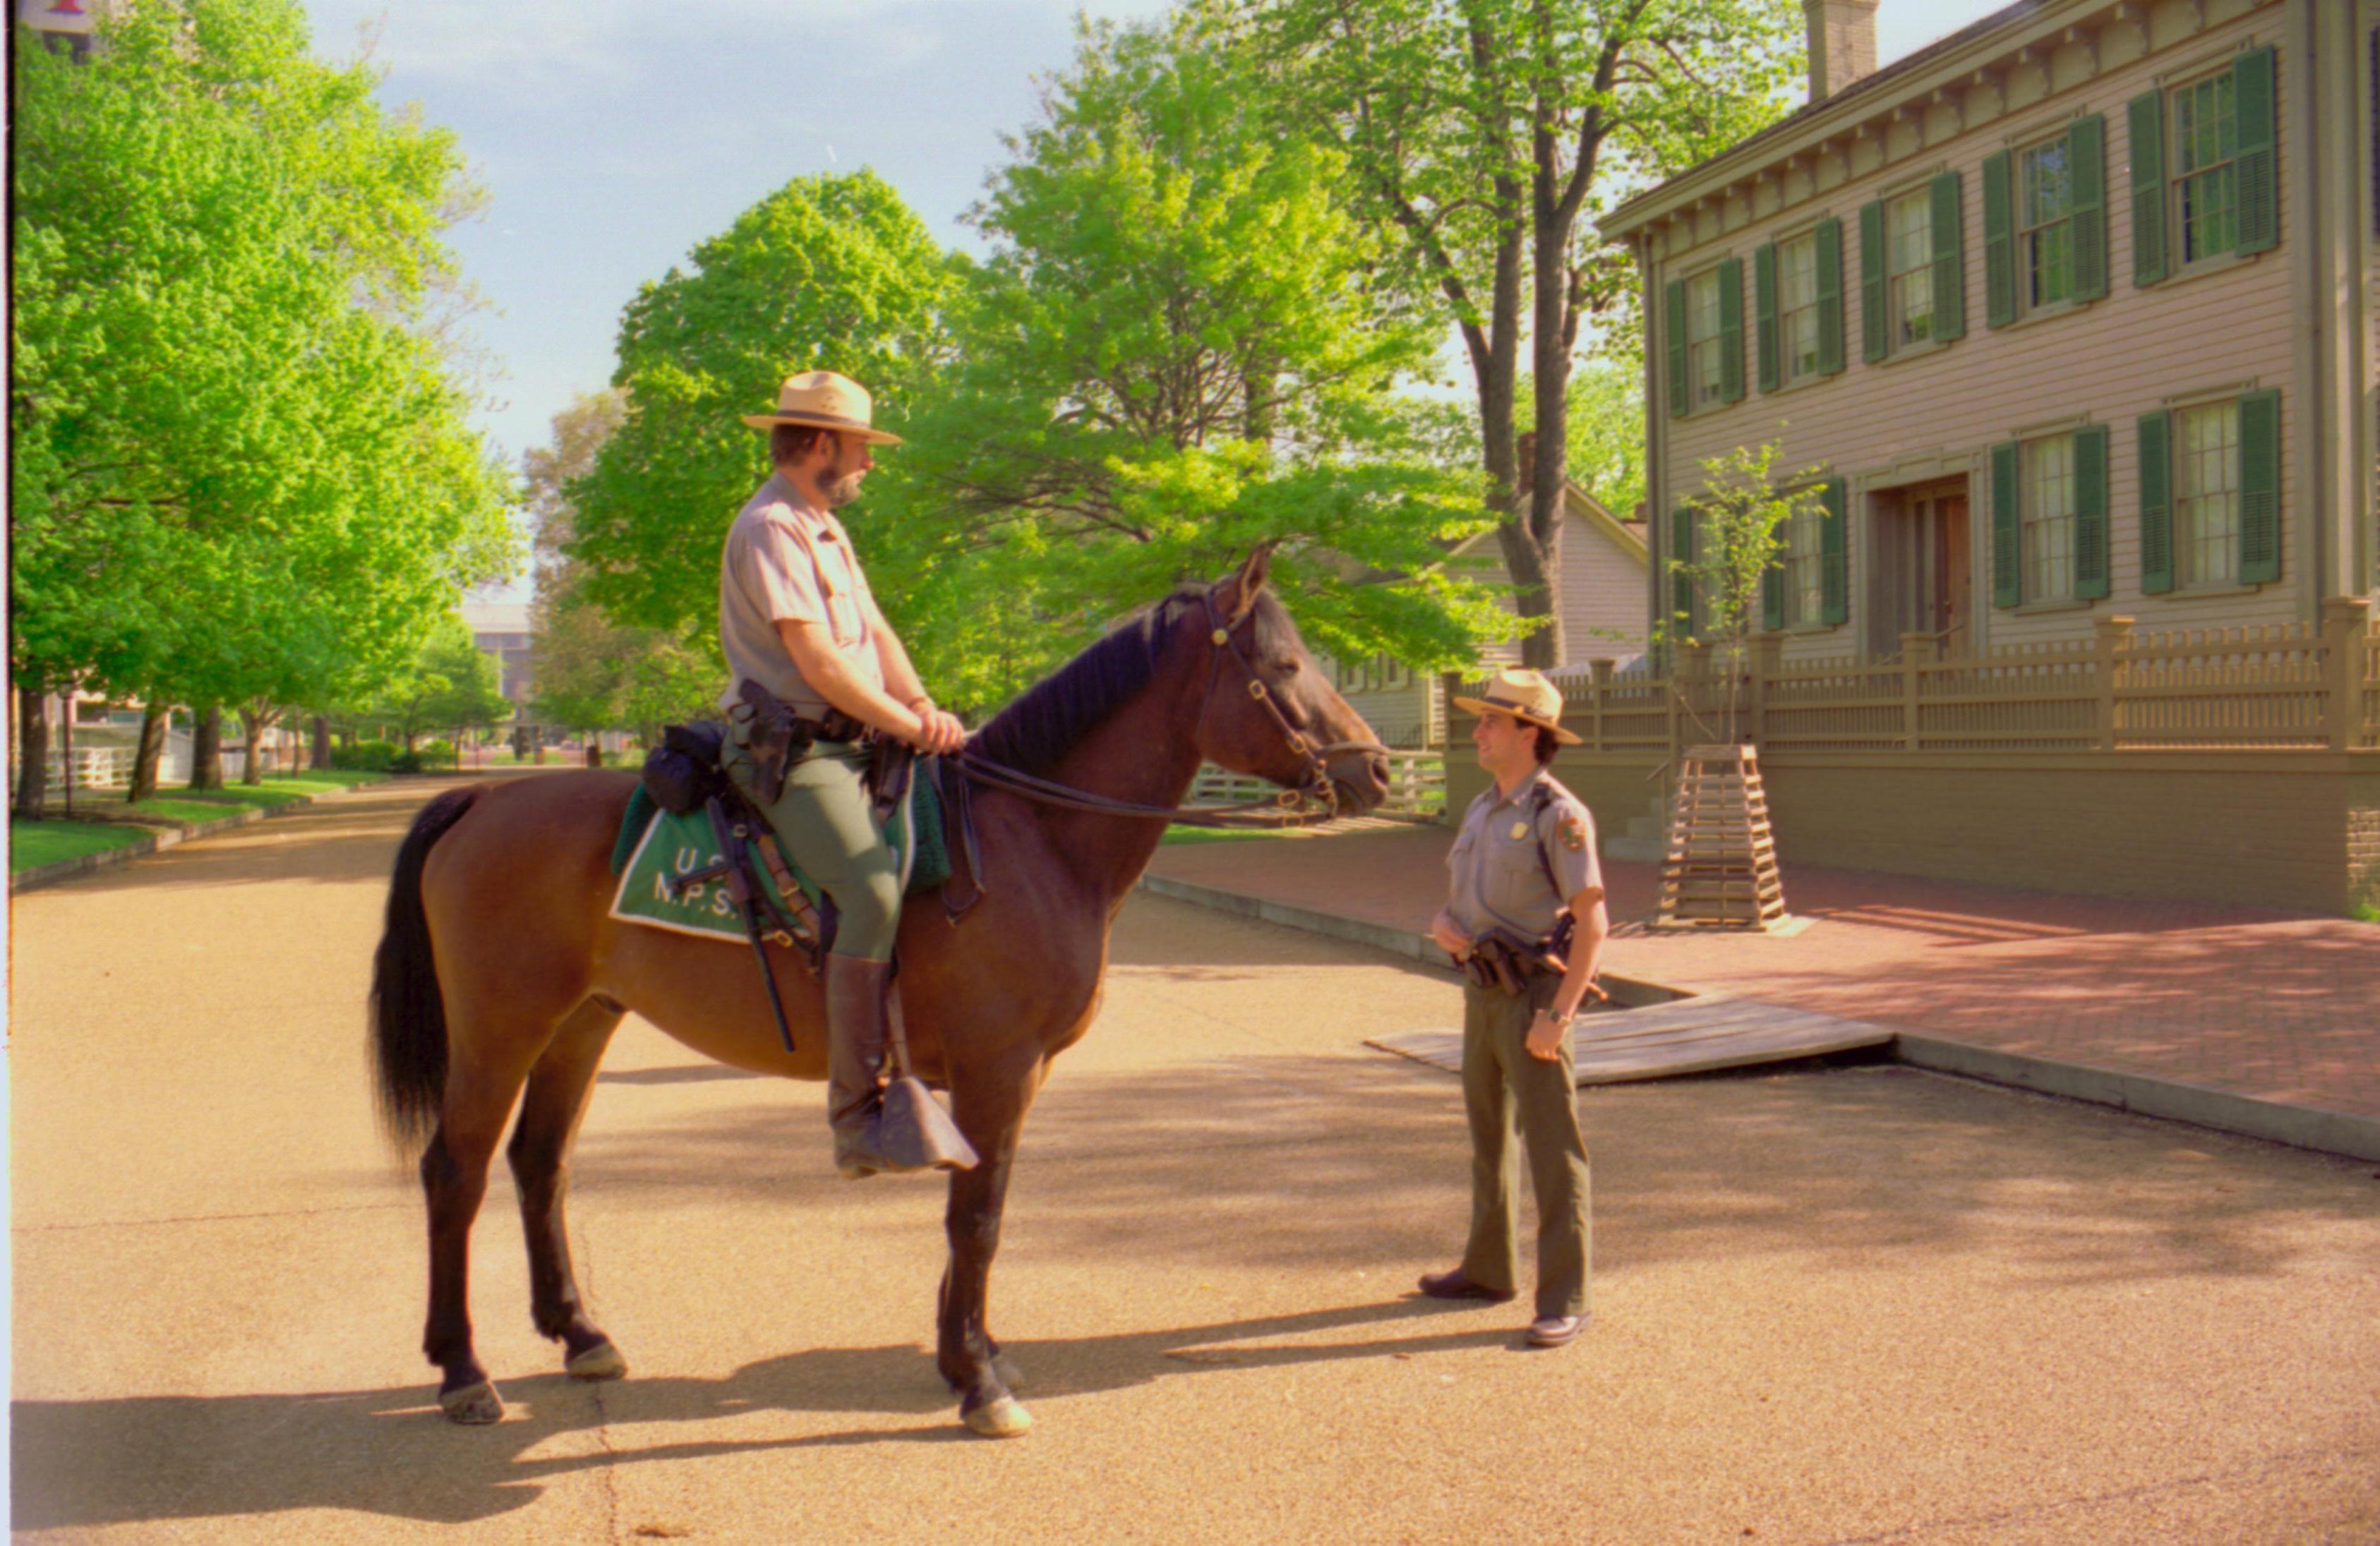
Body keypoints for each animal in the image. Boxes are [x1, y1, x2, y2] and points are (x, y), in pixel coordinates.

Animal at [361, 542, 1390, 1436]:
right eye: (1287, 663)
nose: (1375, 766)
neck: (1030, 837)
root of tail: (482, 797)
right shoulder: (998, 1068)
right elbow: (978, 1217)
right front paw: (976, 1380)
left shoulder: (1013, 1076)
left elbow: (976, 1211)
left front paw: (971, 1352)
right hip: (500, 1030)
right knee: (455, 1170)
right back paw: (463, 1369)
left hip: (579, 1024)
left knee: (540, 1163)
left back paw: (580, 1333)